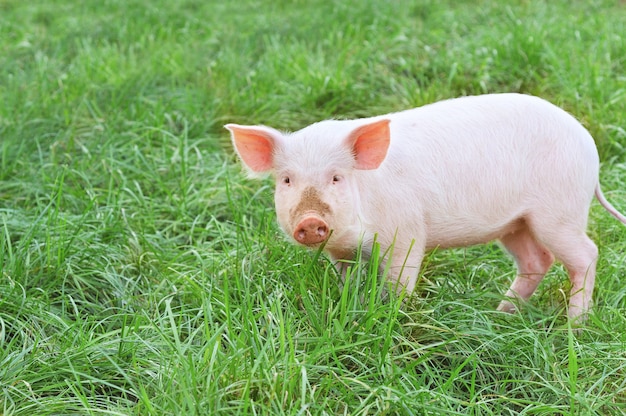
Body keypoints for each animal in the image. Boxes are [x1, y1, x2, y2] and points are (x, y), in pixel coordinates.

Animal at [227, 94, 624, 322]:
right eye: (287, 180)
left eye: (337, 178)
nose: (310, 221)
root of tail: (588, 144)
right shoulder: (339, 253)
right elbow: (347, 282)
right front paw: (351, 308)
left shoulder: (406, 233)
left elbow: (399, 282)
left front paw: (388, 318)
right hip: (517, 222)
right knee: (537, 260)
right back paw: (501, 314)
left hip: (559, 211)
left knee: (586, 254)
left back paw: (574, 326)